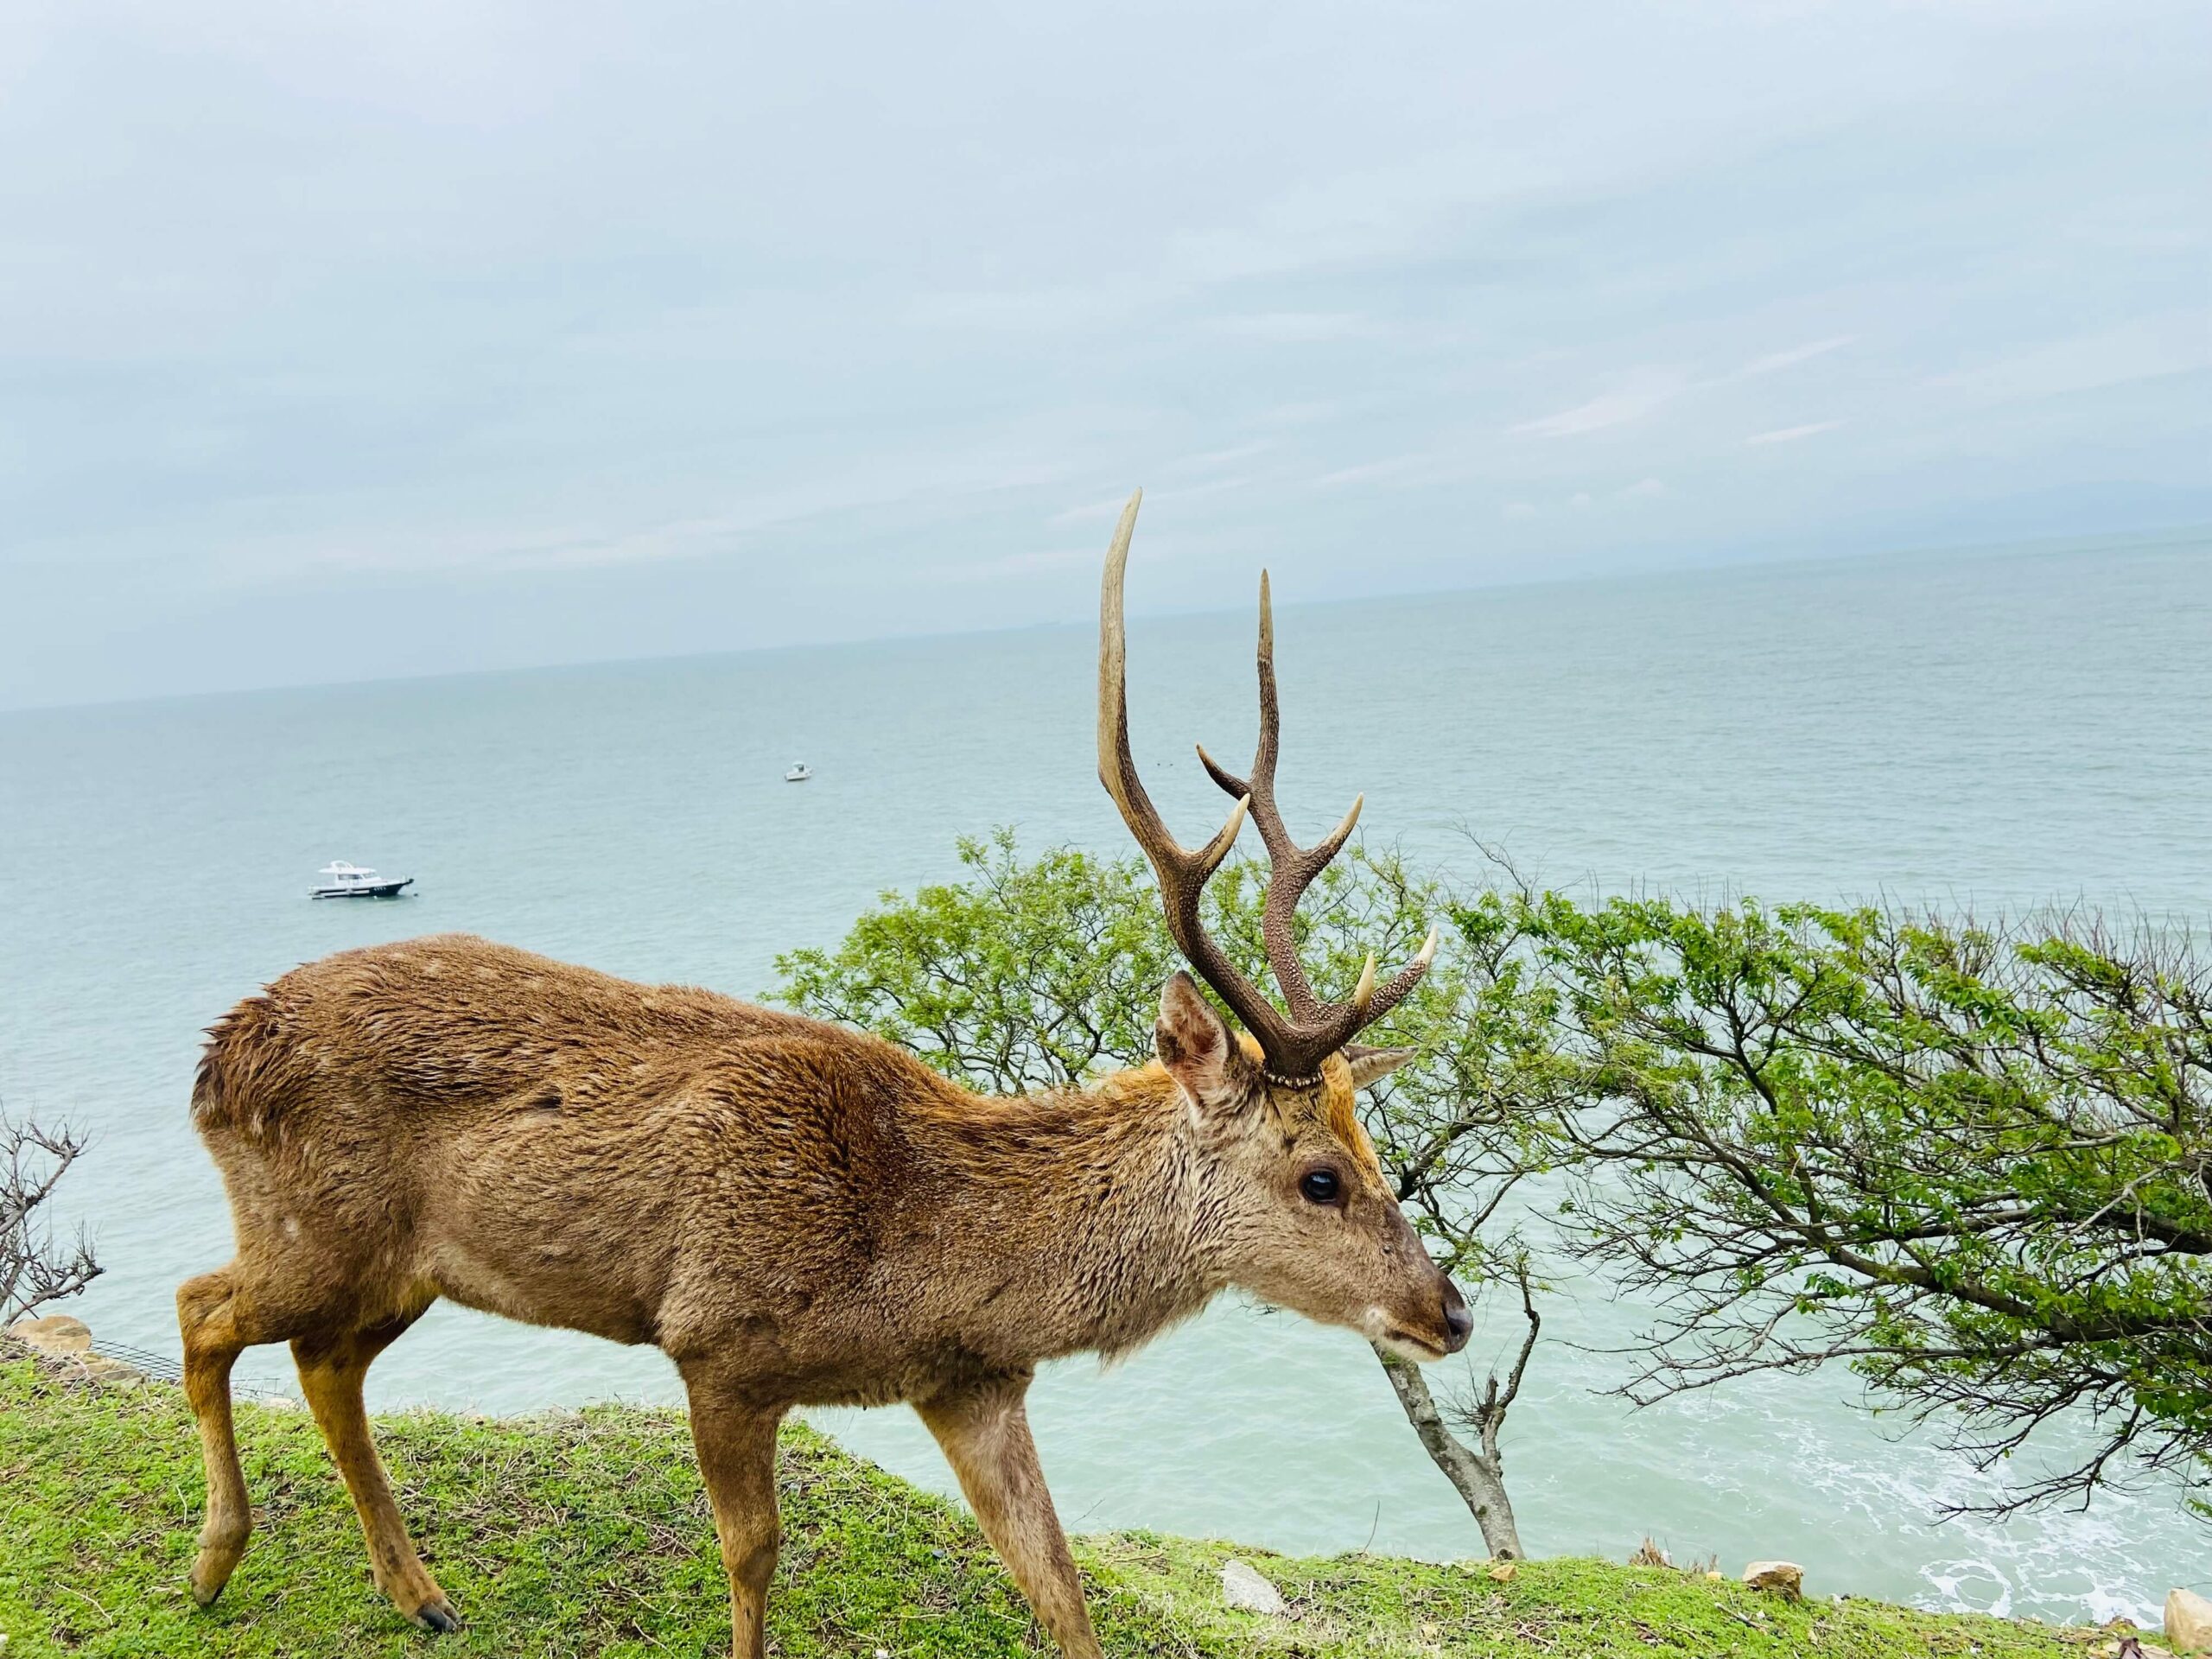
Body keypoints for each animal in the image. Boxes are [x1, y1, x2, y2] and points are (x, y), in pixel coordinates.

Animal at [172, 486, 1468, 1654]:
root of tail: (214, 1059)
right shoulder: (717, 1340)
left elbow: (1058, 1586)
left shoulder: (975, 1386)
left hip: (400, 1267)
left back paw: (419, 1595)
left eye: (1375, 1152)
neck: (922, 1262)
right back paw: (214, 1563)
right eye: (1318, 1178)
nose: (1448, 1313)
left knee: (321, 1363)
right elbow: (752, 1557)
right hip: (314, 1225)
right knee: (202, 1308)